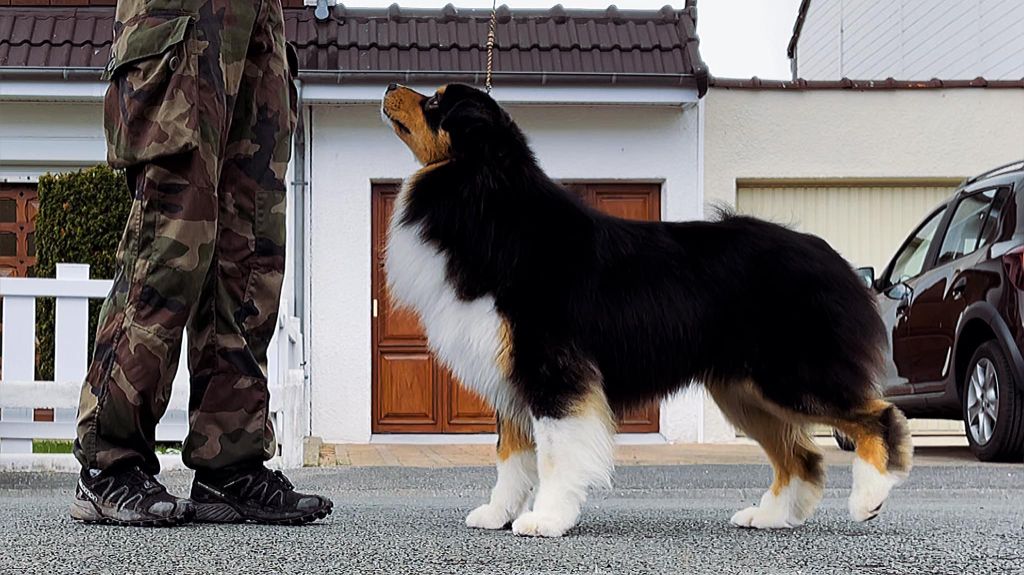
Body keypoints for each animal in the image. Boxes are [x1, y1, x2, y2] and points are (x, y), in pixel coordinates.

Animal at [376, 82, 913, 536]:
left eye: (436, 102)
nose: (389, 86)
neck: (489, 202)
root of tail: (835, 259)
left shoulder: (553, 369)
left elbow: (554, 454)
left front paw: (545, 519)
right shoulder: (512, 379)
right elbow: (510, 455)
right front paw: (496, 514)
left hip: (793, 373)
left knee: (880, 416)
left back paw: (868, 498)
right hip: (745, 391)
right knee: (802, 457)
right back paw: (770, 516)